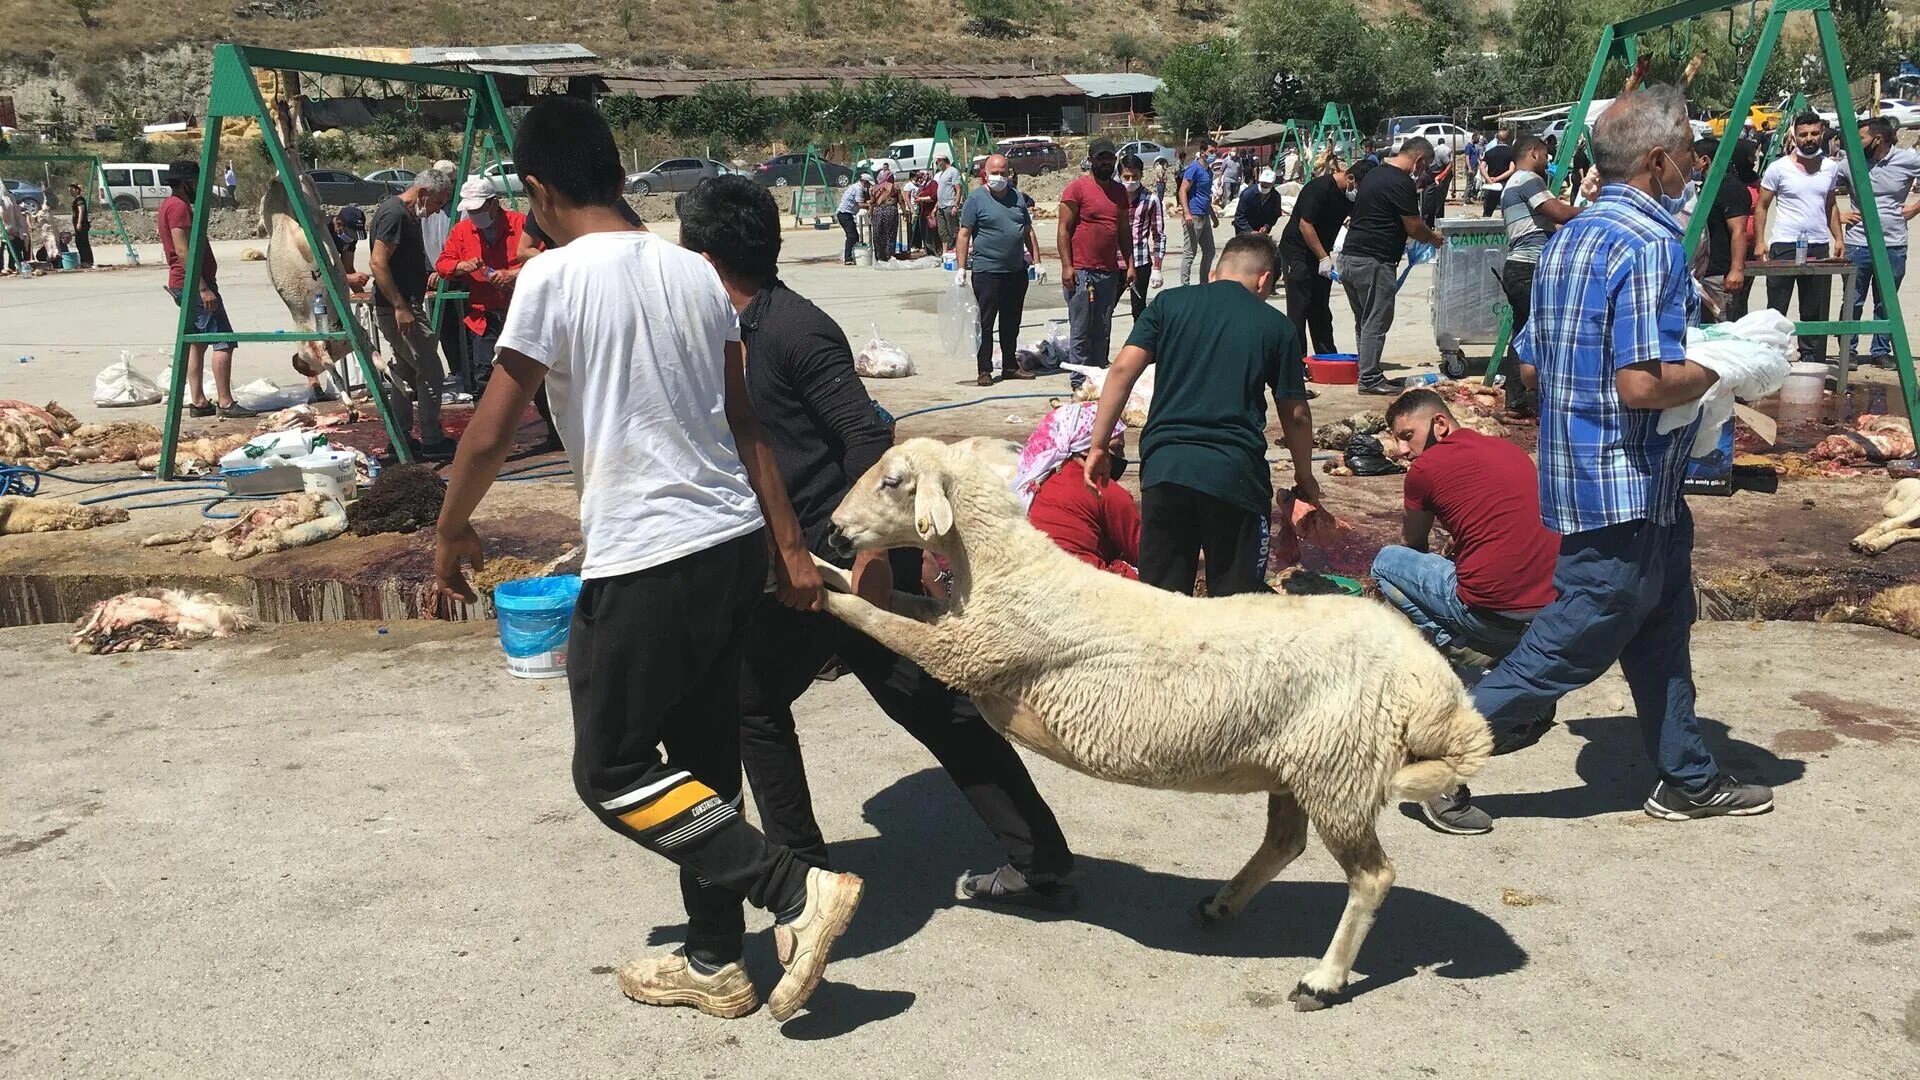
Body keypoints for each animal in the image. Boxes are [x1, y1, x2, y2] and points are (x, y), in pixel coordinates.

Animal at [817, 432, 1489, 1006]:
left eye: (893, 482)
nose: (832, 530)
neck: (1008, 573)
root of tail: (1436, 687)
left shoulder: (969, 652)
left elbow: (880, 619)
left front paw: (817, 591)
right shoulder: (958, 630)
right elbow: (891, 601)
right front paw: (826, 572)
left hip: (1340, 769)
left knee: (1372, 876)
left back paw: (1322, 980)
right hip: (1302, 763)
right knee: (1285, 842)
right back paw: (1221, 906)